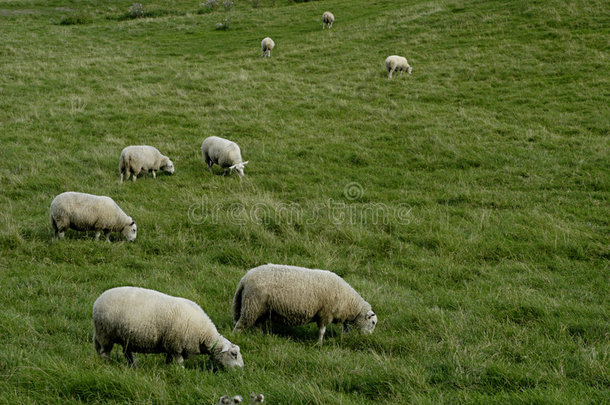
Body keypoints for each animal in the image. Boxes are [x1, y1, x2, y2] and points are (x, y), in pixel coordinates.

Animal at [92, 286, 242, 368]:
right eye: (233, 354)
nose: (240, 370)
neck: (203, 334)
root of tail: (97, 300)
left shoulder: (171, 345)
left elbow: (169, 360)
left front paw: (168, 368)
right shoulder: (175, 344)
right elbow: (179, 362)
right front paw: (181, 372)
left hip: (123, 337)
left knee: (126, 353)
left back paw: (133, 366)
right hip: (105, 334)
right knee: (104, 353)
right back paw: (108, 364)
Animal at [232, 266, 376, 344]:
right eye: (373, 323)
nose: (368, 338)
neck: (349, 303)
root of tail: (245, 278)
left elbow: (346, 328)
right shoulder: (325, 313)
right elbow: (322, 331)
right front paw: (319, 343)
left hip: (261, 309)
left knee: (257, 325)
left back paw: (260, 337)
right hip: (252, 305)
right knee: (241, 324)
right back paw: (236, 337)